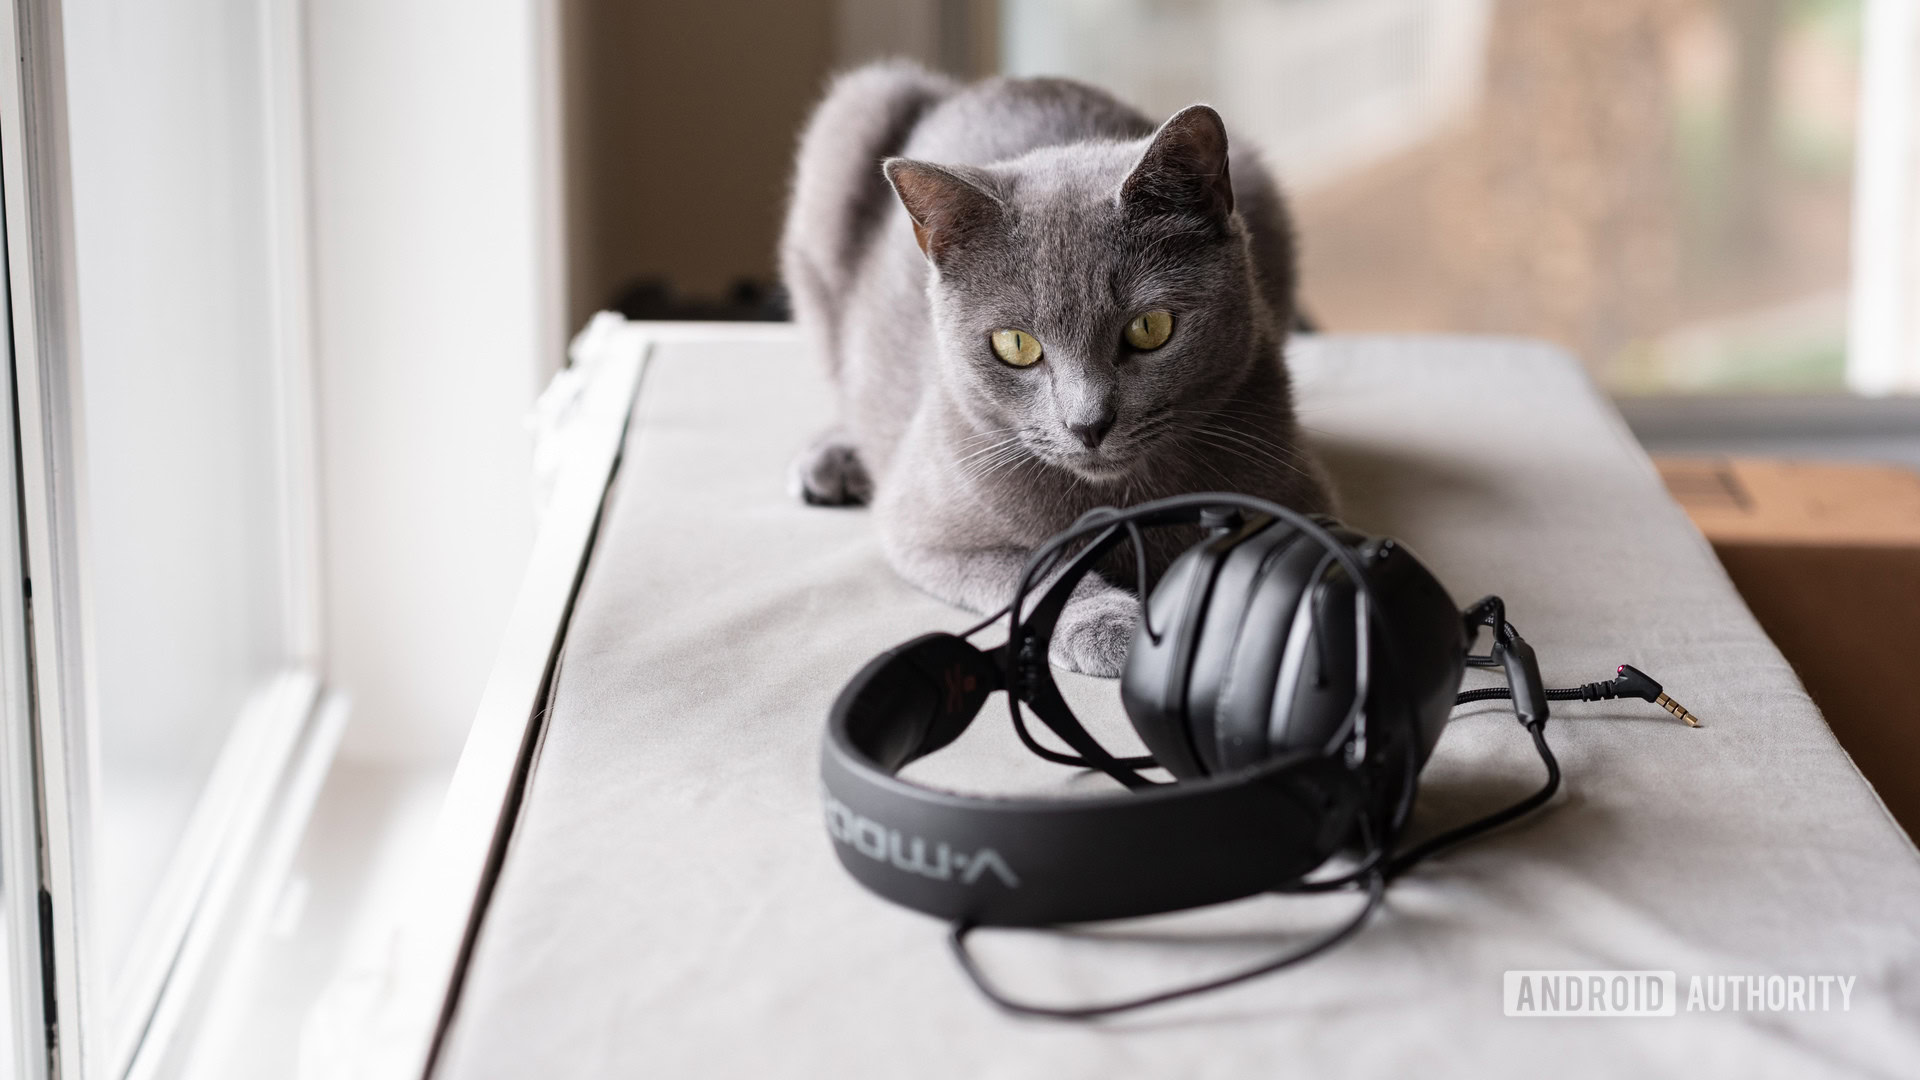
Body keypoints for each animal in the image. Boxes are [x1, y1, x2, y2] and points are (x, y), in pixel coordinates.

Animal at [771, 61, 1328, 672]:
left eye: (1150, 328)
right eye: (1016, 344)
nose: (1089, 424)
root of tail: (994, 82)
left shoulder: (1301, 492)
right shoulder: (929, 531)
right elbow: (1036, 570)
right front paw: (1110, 624)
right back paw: (835, 457)